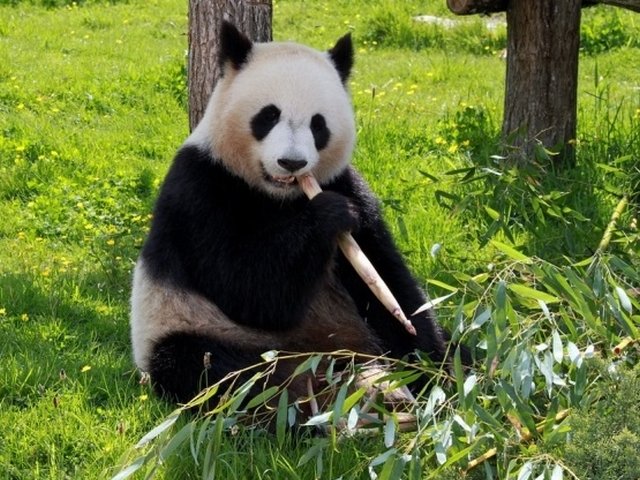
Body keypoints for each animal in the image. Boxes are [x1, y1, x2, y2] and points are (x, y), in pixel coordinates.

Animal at [130, 22, 454, 407]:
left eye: (318, 124)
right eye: (269, 115)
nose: (292, 162)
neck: (280, 196)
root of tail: (325, 358)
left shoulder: (347, 184)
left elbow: (386, 279)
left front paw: (430, 366)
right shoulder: (201, 188)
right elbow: (248, 289)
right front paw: (329, 215)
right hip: (191, 327)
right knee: (211, 369)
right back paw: (303, 403)